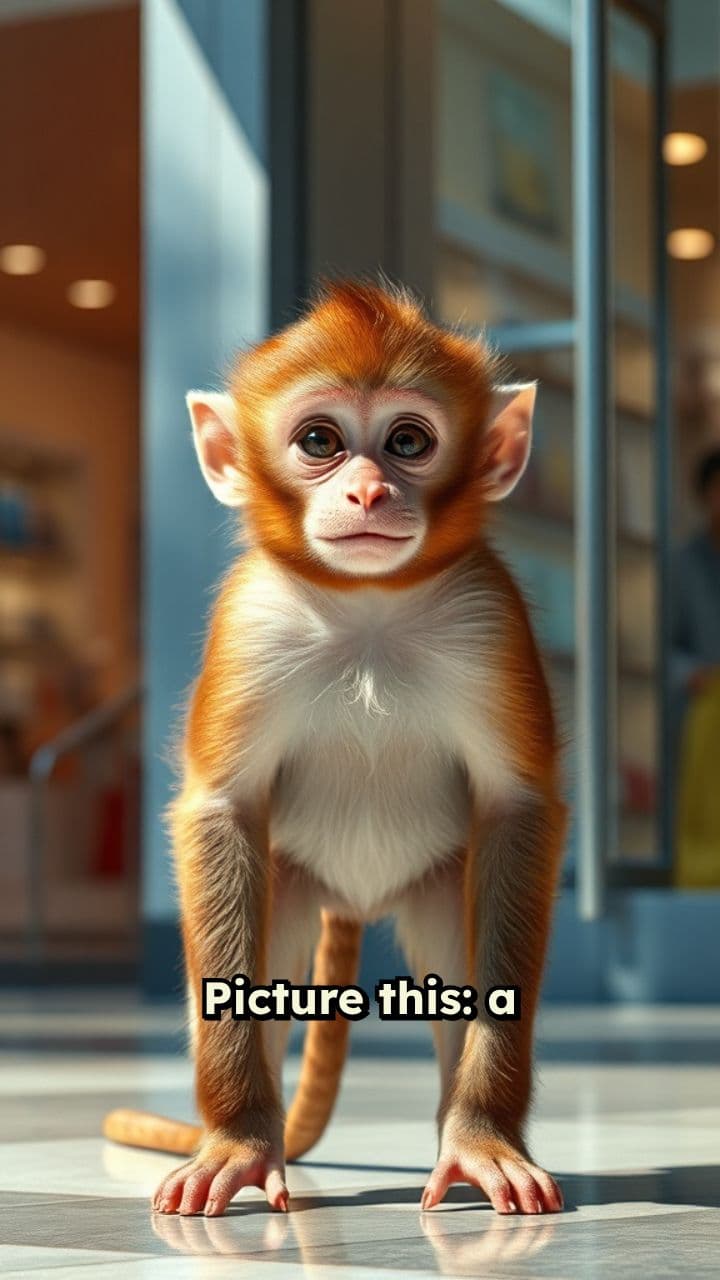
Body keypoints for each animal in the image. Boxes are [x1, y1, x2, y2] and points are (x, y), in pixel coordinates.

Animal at [103, 280, 568, 1219]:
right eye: (320, 440)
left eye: (408, 441)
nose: (367, 491)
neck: (368, 610)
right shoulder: (249, 622)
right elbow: (221, 809)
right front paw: (236, 1144)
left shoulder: (491, 618)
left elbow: (517, 807)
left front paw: (486, 1136)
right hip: (293, 882)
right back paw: (256, 1134)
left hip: (436, 883)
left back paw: (463, 1137)